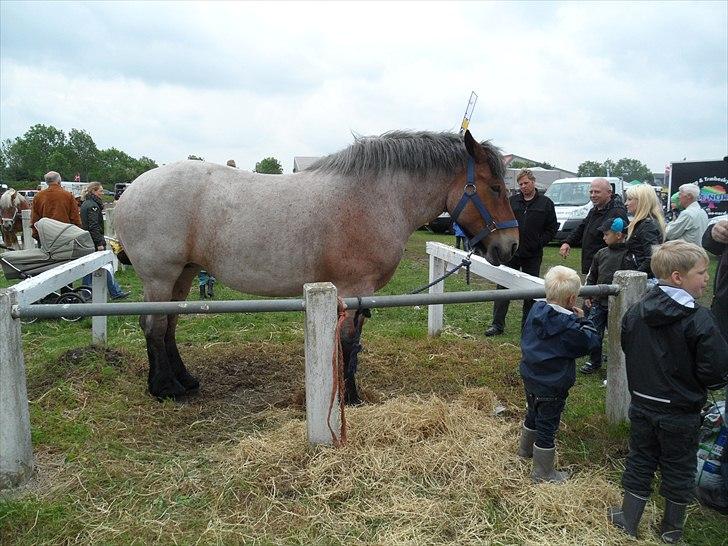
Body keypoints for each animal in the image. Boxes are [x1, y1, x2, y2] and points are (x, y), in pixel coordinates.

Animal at [114, 130, 520, 402]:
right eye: (496, 188)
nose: (511, 245)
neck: (375, 198)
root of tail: (129, 192)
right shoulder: (355, 289)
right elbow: (349, 344)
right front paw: (351, 397)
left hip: (182, 274)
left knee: (168, 325)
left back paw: (184, 380)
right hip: (161, 276)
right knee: (153, 326)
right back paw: (165, 388)